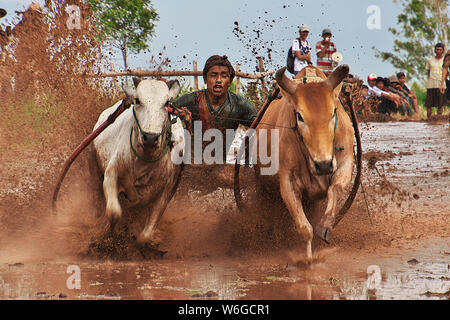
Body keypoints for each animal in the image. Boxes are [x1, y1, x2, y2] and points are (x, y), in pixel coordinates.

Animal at [93, 79, 185, 249]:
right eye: (137, 100)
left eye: (167, 102)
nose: (150, 137)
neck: (144, 161)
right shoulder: (111, 174)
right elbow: (113, 212)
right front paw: (108, 235)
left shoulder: (166, 192)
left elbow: (146, 235)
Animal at [255, 64, 354, 260]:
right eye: (300, 116)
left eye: (333, 112)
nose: (323, 164)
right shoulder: (287, 183)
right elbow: (304, 228)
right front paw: (308, 260)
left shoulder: (346, 163)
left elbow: (335, 189)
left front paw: (325, 226)